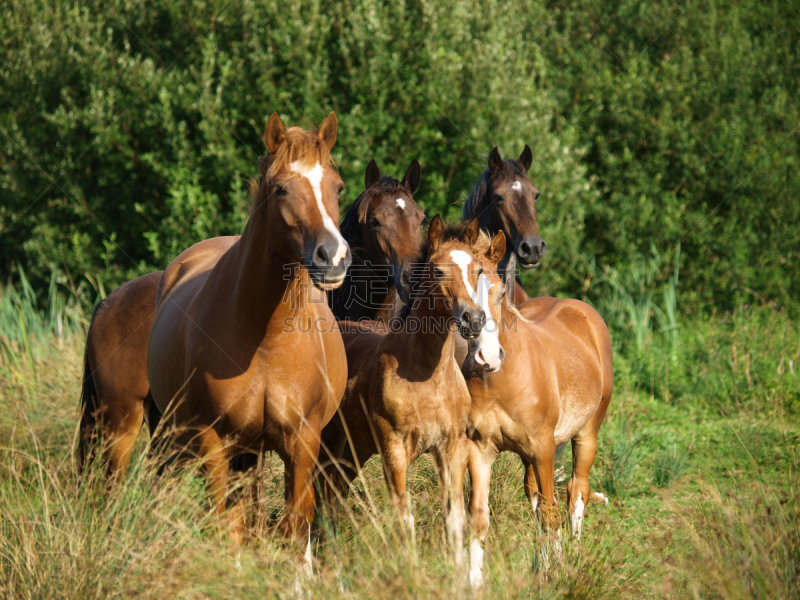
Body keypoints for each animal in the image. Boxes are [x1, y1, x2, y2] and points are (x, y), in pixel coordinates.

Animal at [146, 112, 350, 556]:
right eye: (280, 188)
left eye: (337, 186)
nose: (334, 256)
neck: (266, 340)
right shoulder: (213, 441)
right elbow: (224, 523)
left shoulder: (303, 442)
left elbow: (295, 525)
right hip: (176, 437)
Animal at [320, 217, 504, 568]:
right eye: (438, 271)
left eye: (477, 270)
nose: (473, 319)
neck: (426, 378)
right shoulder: (393, 449)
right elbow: (404, 519)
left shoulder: (452, 447)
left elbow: (454, 518)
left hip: (351, 450)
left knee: (332, 497)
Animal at [460, 233, 616, 584]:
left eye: (501, 292)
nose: (487, 356)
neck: (499, 380)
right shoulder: (480, 450)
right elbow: (479, 517)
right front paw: (474, 583)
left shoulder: (542, 447)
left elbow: (550, 512)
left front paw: (557, 573)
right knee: (537, 495)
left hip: (585, 435)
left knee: (575, 492)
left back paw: (572, 559)